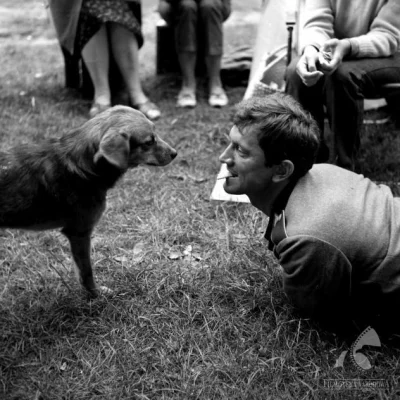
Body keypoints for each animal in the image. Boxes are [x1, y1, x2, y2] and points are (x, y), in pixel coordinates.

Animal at [0, 104, 178, 296]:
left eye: (155, 133)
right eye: (148, 142)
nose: (175, 153)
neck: (83, 164)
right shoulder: (79, 233)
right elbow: (86, 272)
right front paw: (96, 294)